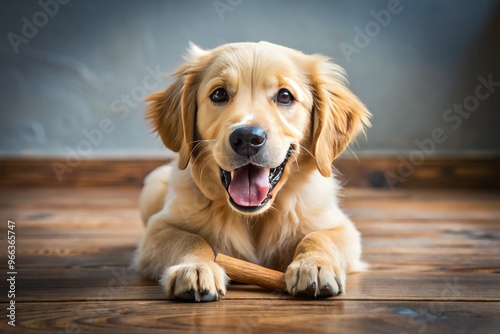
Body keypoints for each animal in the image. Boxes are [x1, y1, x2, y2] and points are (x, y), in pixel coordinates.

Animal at [135, 40, 370, 302]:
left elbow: (318, 236)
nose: (247, 138)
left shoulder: (341, 227)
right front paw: (195, 267)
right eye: (219, 94)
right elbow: (189, 238)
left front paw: (314, 265)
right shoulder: (158, 228)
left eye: (285, 96)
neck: (254, 218)